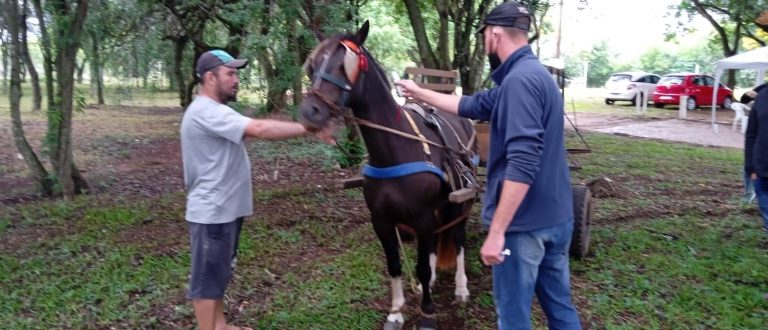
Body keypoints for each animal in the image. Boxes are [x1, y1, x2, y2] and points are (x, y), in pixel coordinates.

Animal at [298, 21, 474, 330]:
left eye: (345, 65)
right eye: (312, 66)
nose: (310, 112)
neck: (396, 149)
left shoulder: (422, 218)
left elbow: (421, 266)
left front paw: (427, 313)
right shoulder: (381, 220)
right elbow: (394, 264)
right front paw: (396, 311)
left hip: (458, 201)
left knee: (458, 237)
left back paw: (461, 287)